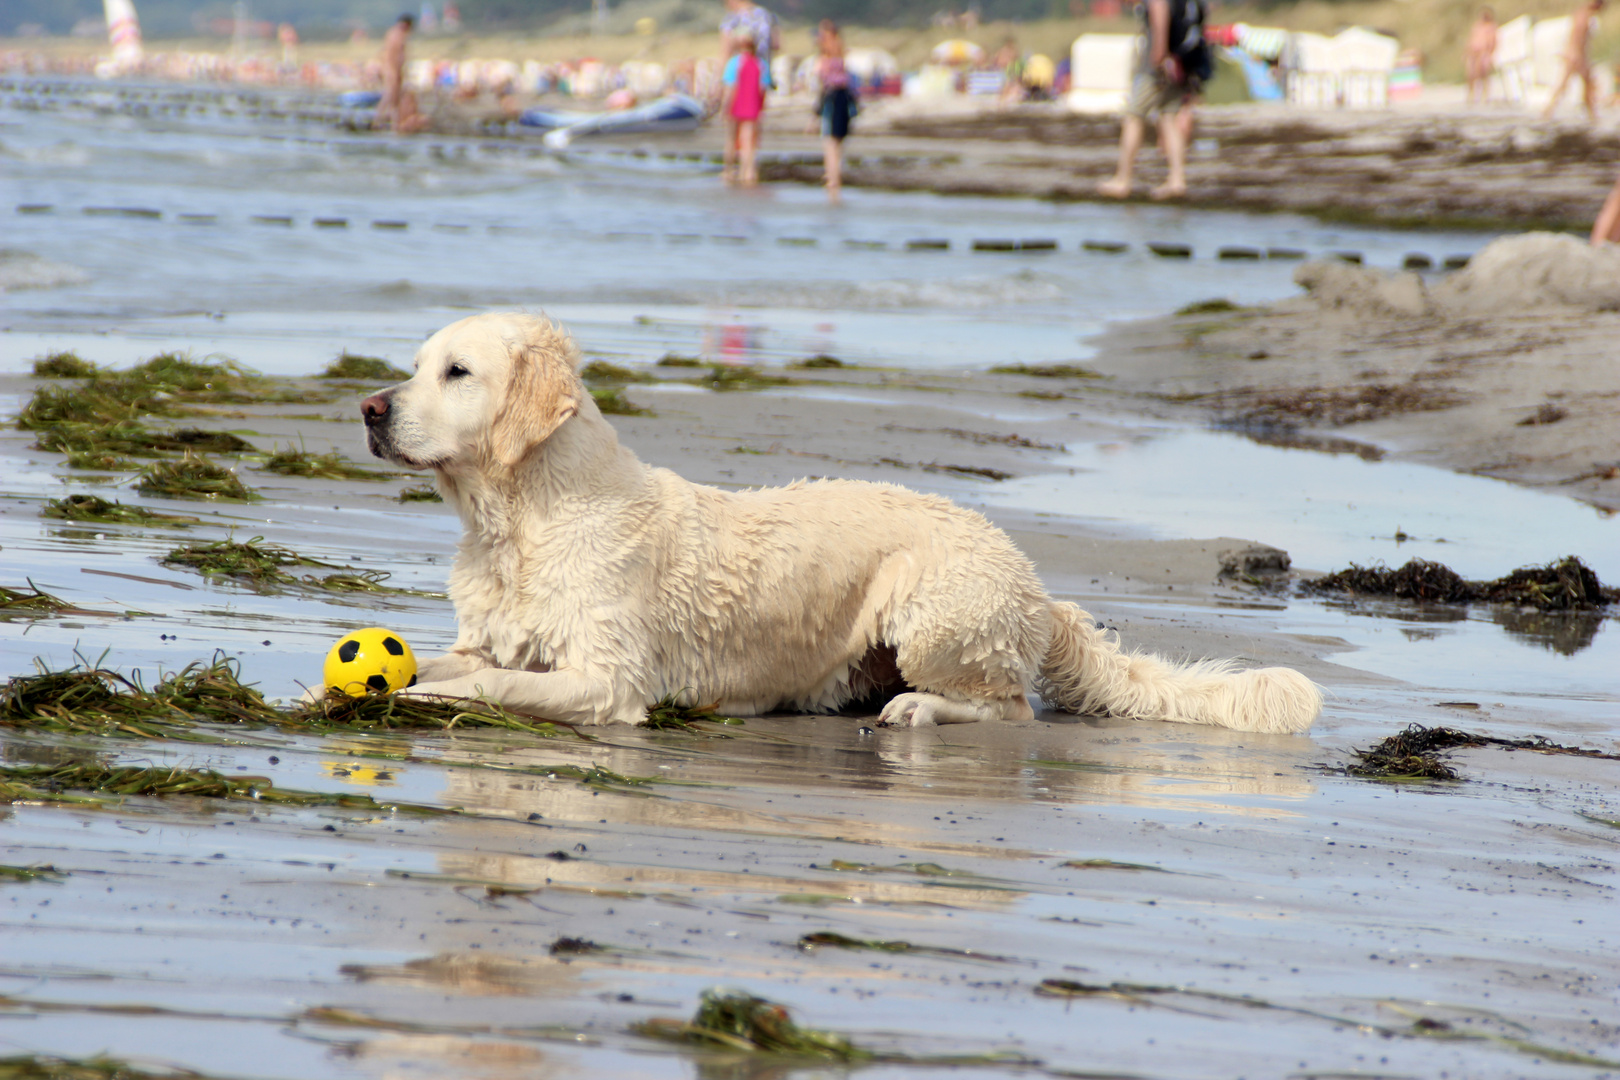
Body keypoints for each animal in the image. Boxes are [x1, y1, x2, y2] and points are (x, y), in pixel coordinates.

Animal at [361, 312, 1321, 735]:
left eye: (456, 372)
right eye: (414, 365)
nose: (368, 408)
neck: (521, 521)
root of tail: (1039, 588)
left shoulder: (608, 681)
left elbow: (488, 686)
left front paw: (419, 696)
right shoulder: (490, 635)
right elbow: (447, 658)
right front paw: (360, 680)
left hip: (934, 611)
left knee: (1010, 708)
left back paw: (918, 712)